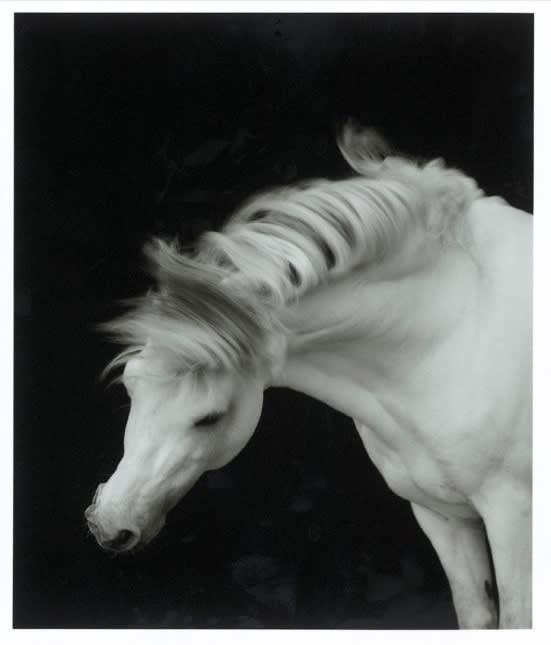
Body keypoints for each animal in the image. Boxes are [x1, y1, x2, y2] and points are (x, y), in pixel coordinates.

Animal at [85, 124, 532, 629]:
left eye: (209, 418)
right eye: (130, 384)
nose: (109, 521)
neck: (452, 334)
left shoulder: (513, 518)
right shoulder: (441, 516)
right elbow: (475, 614)